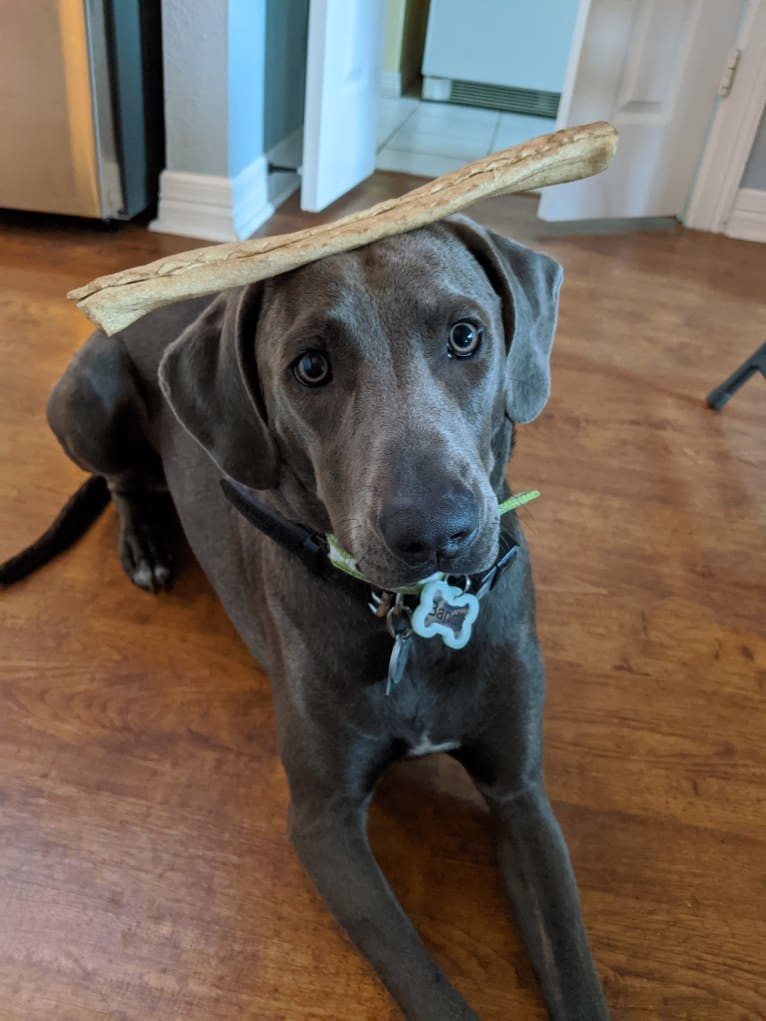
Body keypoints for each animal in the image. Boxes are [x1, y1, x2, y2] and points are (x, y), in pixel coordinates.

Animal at [9, 217, 616, 1021]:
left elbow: (574, 967)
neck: (410, 619)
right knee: (122, 480)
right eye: (311, 367)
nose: (435, 532)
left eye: (466, 336)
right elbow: (426, 985)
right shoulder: (324, 823)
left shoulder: (520, 792)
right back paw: (144, 542)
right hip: (88, 397)